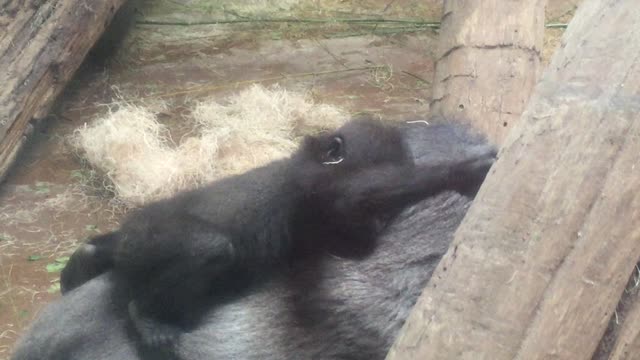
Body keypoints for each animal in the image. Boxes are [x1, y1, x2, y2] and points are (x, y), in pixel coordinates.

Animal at [11, 118, 496, 360]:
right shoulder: (326, 191)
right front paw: (463, 170)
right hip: (153, 239)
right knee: (204, 252)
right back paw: (144, 314)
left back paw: (89, 259)